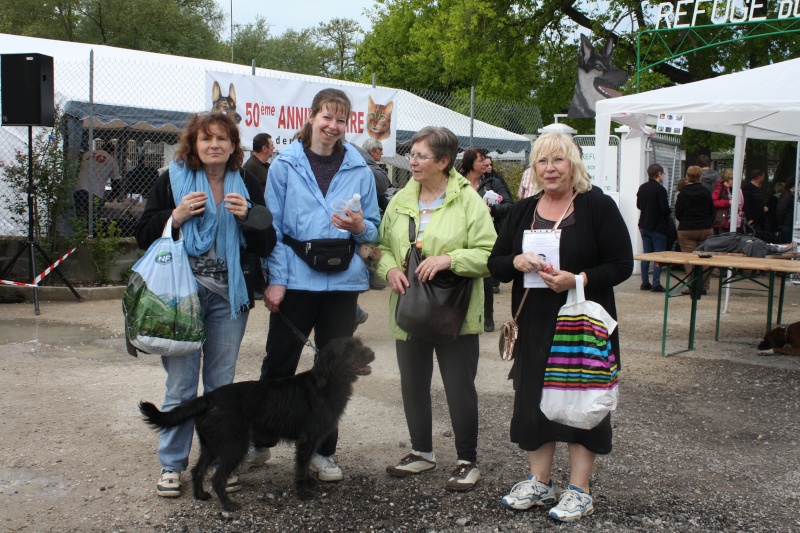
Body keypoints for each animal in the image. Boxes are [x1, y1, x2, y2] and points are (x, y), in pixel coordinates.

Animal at [138, 334, 376, 510]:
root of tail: (210, 398)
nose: (372, 354)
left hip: (211, 446)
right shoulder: (307, 440)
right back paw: (228, 505)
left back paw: (201, 496)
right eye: (348, 350)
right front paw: (303, 492)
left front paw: (309, 483)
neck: (325, 384)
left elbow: (307, 465)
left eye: (359, 344)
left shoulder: (312, 441)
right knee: (216, 478)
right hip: (234, 446)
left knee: (197, 471)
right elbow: (300, 468)